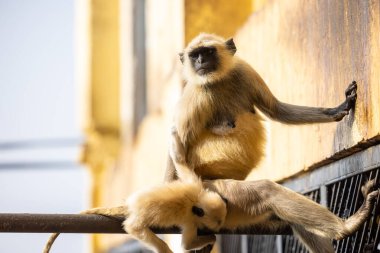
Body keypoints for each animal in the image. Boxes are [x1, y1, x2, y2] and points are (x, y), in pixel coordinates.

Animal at [166, 32, 356, 181]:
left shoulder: (245, 71)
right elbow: (178, 141)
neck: (218, 80)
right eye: (194, 55)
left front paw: (338, 109)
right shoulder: (197, 93)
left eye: (208, 52)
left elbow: (276, 110)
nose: (200, 61)